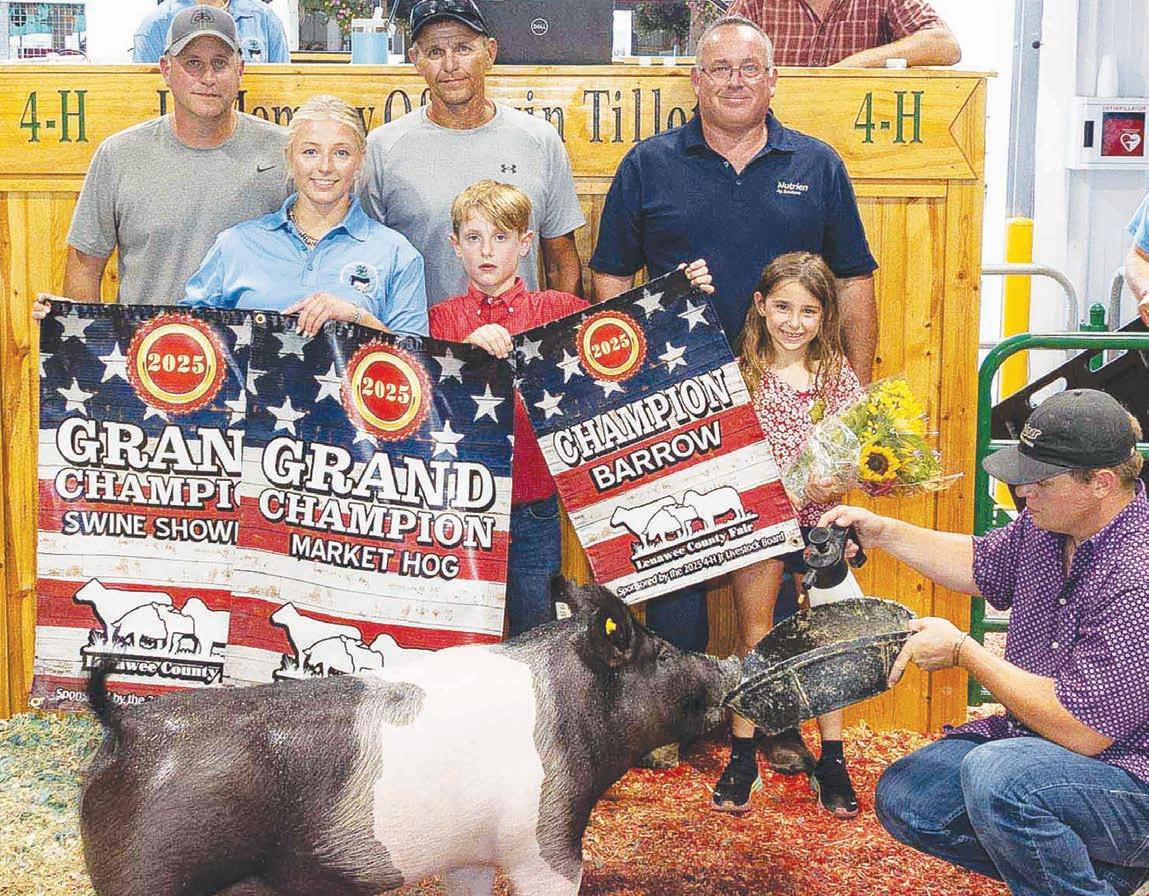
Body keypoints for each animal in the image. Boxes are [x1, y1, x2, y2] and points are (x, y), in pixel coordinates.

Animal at [79, 577, 741, 896]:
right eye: (660, 654)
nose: (728, 668)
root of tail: (128, 726)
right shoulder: (545, 841)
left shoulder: (470, 853)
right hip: (149, 873)